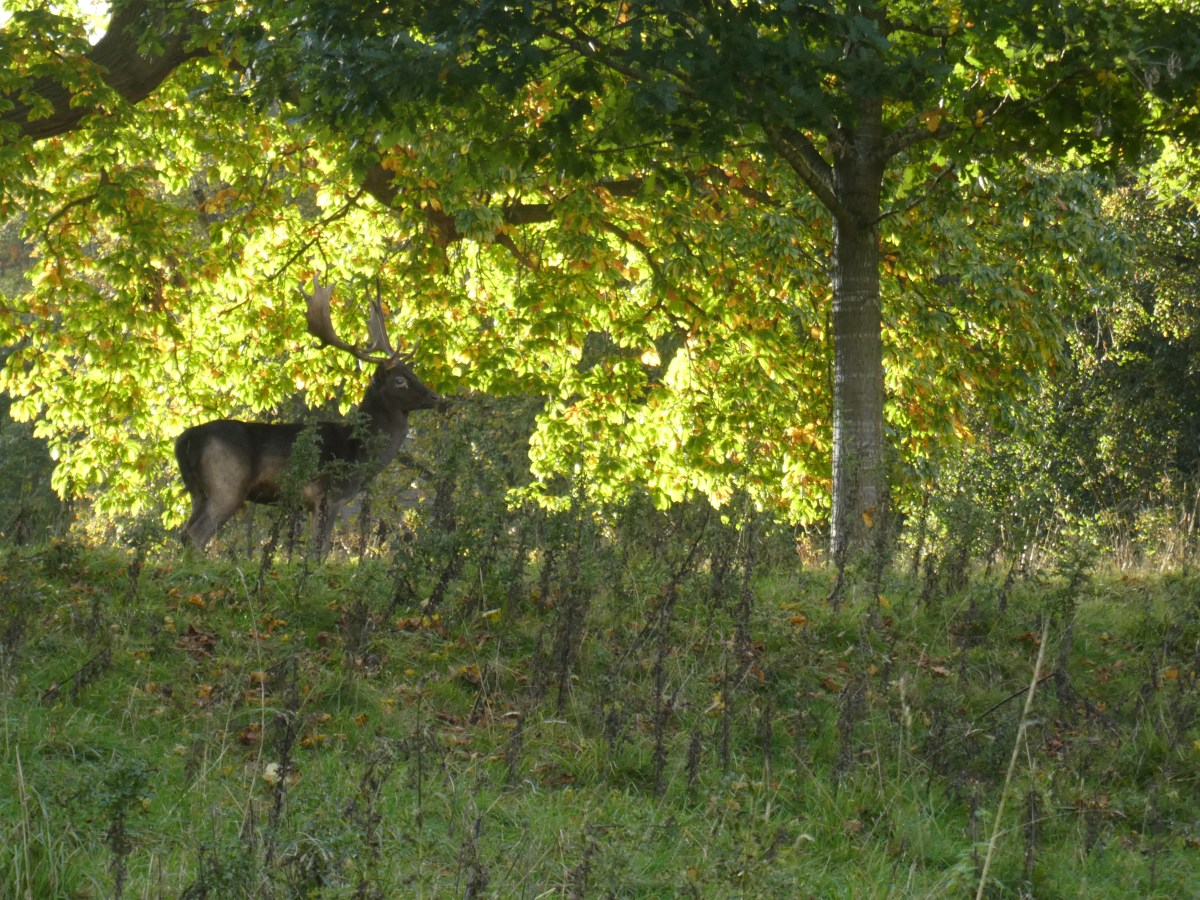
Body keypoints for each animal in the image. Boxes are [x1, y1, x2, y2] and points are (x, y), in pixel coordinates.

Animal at [174, 276, 440, 556]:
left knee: (185, 534)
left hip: (197, 491)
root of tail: (185, 440)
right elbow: (318, 552)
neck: (359, 452)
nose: (435, 397)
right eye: (400, 380)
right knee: (196, 535)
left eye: (411, 372)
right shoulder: (329, 496)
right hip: (226, 485)